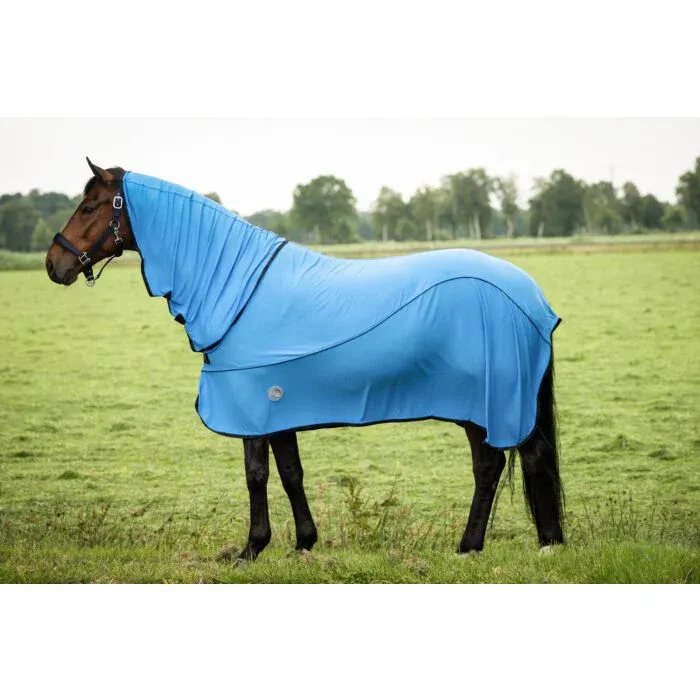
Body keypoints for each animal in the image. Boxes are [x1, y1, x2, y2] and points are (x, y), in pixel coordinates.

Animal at [45, 158, 565, 563]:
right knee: (512, 461)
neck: (240, 289)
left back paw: (497, 546)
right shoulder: (278, 405)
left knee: (501, 462)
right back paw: (523, 543)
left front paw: (250, 549)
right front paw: (303, 544)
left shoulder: (251, 403)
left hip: (491, 402)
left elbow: (256, 475)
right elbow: (291, 473)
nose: (54, 264)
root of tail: (534, 298)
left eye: (90, 206)